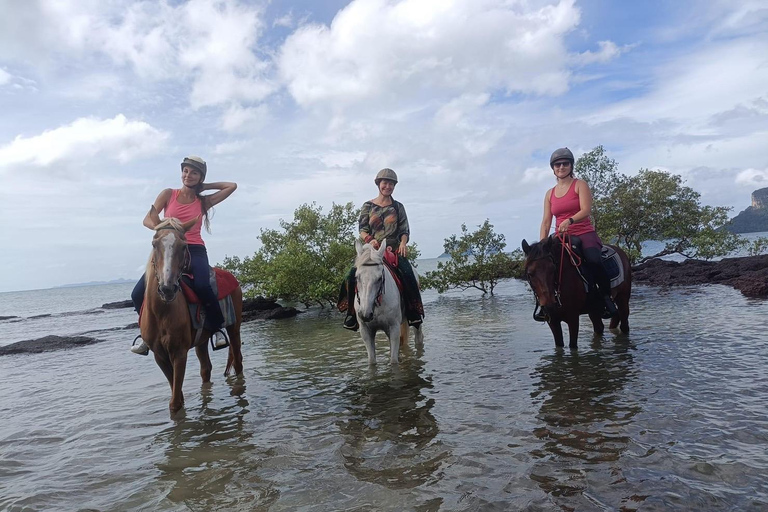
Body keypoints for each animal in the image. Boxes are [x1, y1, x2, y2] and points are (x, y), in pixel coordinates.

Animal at [140, 218, 243, 414]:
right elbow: (177, 396)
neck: (161, 313)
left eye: (183, 246)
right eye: (154, 244)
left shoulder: (179, 353)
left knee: (238, 362)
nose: (167, 288)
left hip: (234, 328)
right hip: (201, 341)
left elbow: (175, 403)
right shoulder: (160, 356)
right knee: (206, 369)